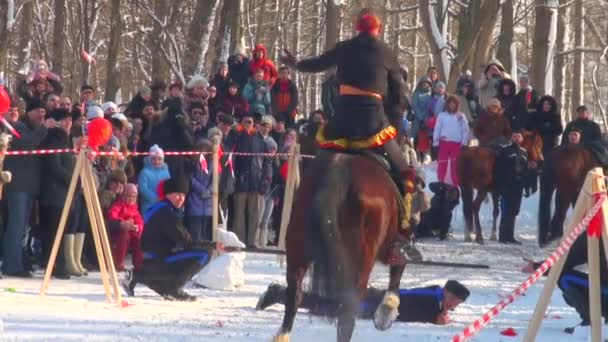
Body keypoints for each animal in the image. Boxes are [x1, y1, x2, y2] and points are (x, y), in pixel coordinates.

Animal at [274, 152, 408, 342]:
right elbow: (399, 265)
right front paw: (387, 311)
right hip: (361, 261)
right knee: (348, 309)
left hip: (297, 249)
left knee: (294, 295)